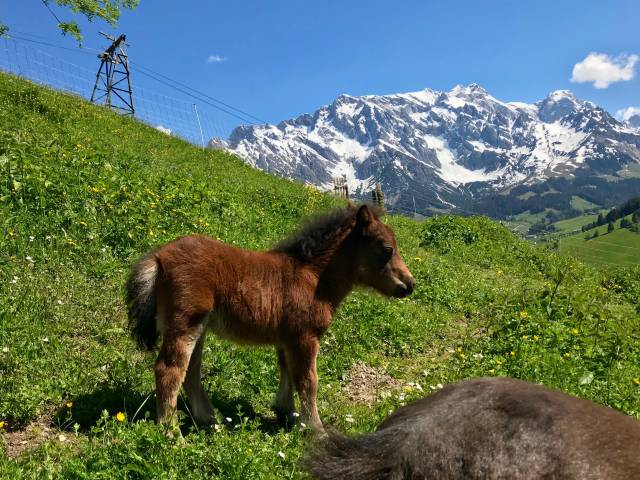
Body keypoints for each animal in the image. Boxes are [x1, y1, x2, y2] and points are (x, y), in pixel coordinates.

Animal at [126, 204, 416, 430]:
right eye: (387, 249)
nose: (410, 285)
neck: (312, 278)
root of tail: (158, 256)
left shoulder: (287, 338)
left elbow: (287, 370)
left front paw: (287, 413)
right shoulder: (305, 337)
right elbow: (308, 380)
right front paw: (315, 428)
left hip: (198, 327)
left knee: (191, 372)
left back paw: (209, 420)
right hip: (185, 322)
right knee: (170, 370)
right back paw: (172, 435)